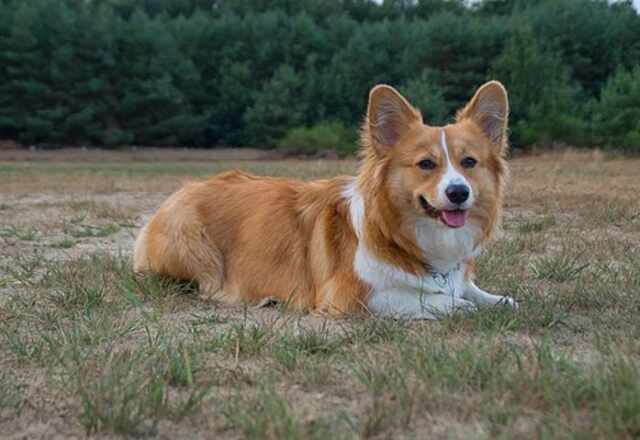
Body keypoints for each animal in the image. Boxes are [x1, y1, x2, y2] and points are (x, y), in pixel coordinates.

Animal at [134, 81, 516, 318]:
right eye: (426, 164)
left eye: (469, 162)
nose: (458, 192)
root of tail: (181, 190)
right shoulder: (353, 296)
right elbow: (429, 299)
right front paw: (456, 305)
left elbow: (478, 292)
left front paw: (497, 299)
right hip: (195, 248)